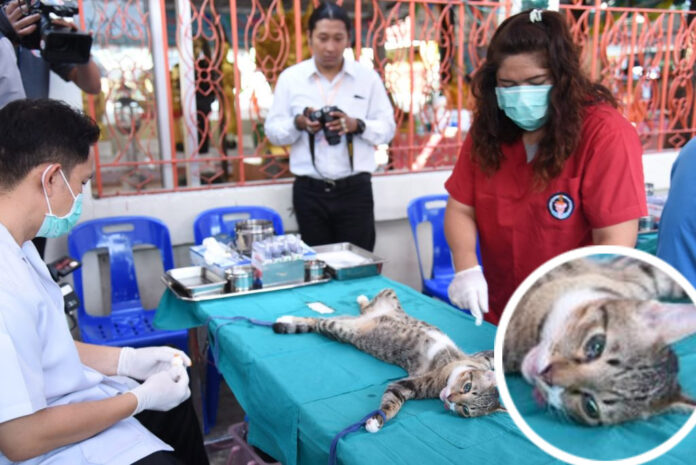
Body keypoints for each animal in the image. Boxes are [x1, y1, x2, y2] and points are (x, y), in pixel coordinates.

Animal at [272, 286, 506, 432]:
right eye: (467, 387)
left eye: (466, 410)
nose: (450, 399)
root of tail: (361, 319)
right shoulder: (480, 358)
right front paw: (377, 420)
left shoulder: (408, 385)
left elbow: (394, 400)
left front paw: (376, 421)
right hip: (387, 296)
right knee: (318, 319)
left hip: (340, 327)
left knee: (327, 319)